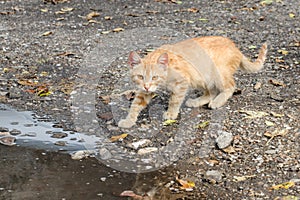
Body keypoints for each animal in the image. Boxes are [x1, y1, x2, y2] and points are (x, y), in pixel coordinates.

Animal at [117, 36, 268, 128]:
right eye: (140, 77)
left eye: (155, 77)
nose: (147, 86)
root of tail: (235, 47)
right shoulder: (143, 91)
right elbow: (135, 105)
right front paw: (129, 120)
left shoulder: (182, 83)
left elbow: (174, 100)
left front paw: (171, 113)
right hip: (202, 78)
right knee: (211, 92)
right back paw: (197, 101)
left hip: (218, 74)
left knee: (230, 86)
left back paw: (217, 101)